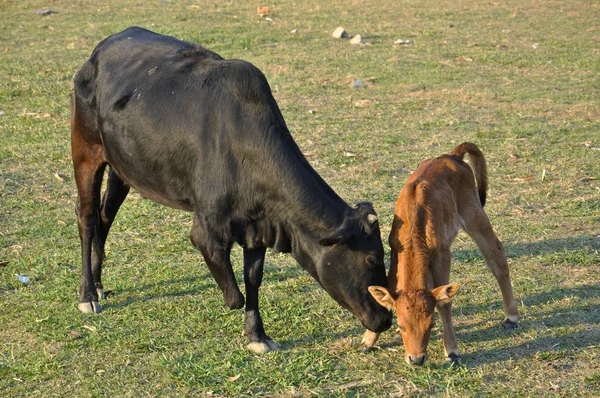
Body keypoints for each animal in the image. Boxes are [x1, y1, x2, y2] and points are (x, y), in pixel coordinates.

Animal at [71, 26, 394, 352]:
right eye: (372, 258)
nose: (385, 318)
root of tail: (105, 45)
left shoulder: (259, 227)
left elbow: (253, 279)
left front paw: (257, 335)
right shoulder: (207, 231)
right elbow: (235, 297)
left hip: (122, 166)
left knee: (105, 216)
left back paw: (98, 283)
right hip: (85, 150)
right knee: (87, 216)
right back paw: (87, 294)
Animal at [358, 143, 516, 366]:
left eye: (431, 324)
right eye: (401, 325)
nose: (416, 359)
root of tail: (452, 155)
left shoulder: (442, 254)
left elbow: (445, 302)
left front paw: (452, 351)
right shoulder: (396, 254)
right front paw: (368, 340)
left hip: (475, 215)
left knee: (497, 258)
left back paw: (511, 317)